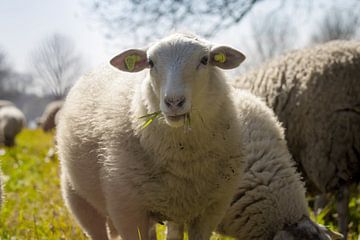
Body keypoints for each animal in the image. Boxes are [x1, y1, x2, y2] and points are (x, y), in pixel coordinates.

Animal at [57, 32, 248, 240]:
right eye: (150, 62)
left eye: (205, 60)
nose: (174, 102)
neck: (183, 157)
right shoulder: (127, 209)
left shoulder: (212, 208)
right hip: (78, 199)